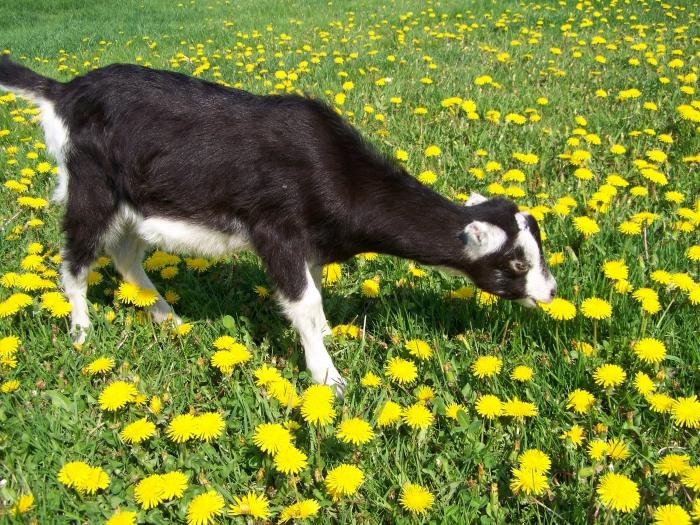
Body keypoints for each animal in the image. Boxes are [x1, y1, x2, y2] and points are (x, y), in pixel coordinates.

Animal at [0, 58, 556, 392]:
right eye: (516, 262)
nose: (550, 293)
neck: (335, 169)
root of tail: (63, 91)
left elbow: (314, 298)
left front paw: (328, 336)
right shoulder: (276, 231)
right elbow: (303, 301)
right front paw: (328, 377)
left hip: (139, 202)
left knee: (126, 255)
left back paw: (166, 316)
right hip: (91, 187)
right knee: (75, 258)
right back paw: (81, 329)